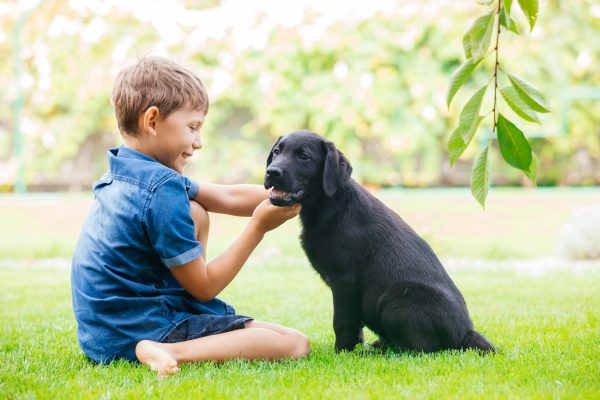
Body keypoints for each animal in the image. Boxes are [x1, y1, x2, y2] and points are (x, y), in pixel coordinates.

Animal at [264, 131, 494, 354]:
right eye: (276, 152)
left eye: (304, 156)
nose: (271, 172)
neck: (330, 203)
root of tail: (466, 333)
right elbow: (354, 324)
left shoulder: (345, 280)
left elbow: (342, 322)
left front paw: (341, 352)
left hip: (396, 300)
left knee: (419, 349)